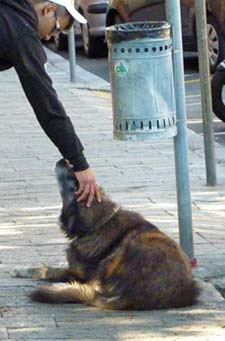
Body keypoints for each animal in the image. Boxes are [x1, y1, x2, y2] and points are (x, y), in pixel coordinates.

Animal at [15, 159, 200, 308]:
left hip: (118, 254)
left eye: (74, 179)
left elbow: (47, 270)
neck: (99, 225)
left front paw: (24, 269)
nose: (63, 160)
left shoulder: (76, 274)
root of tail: (133, 298)